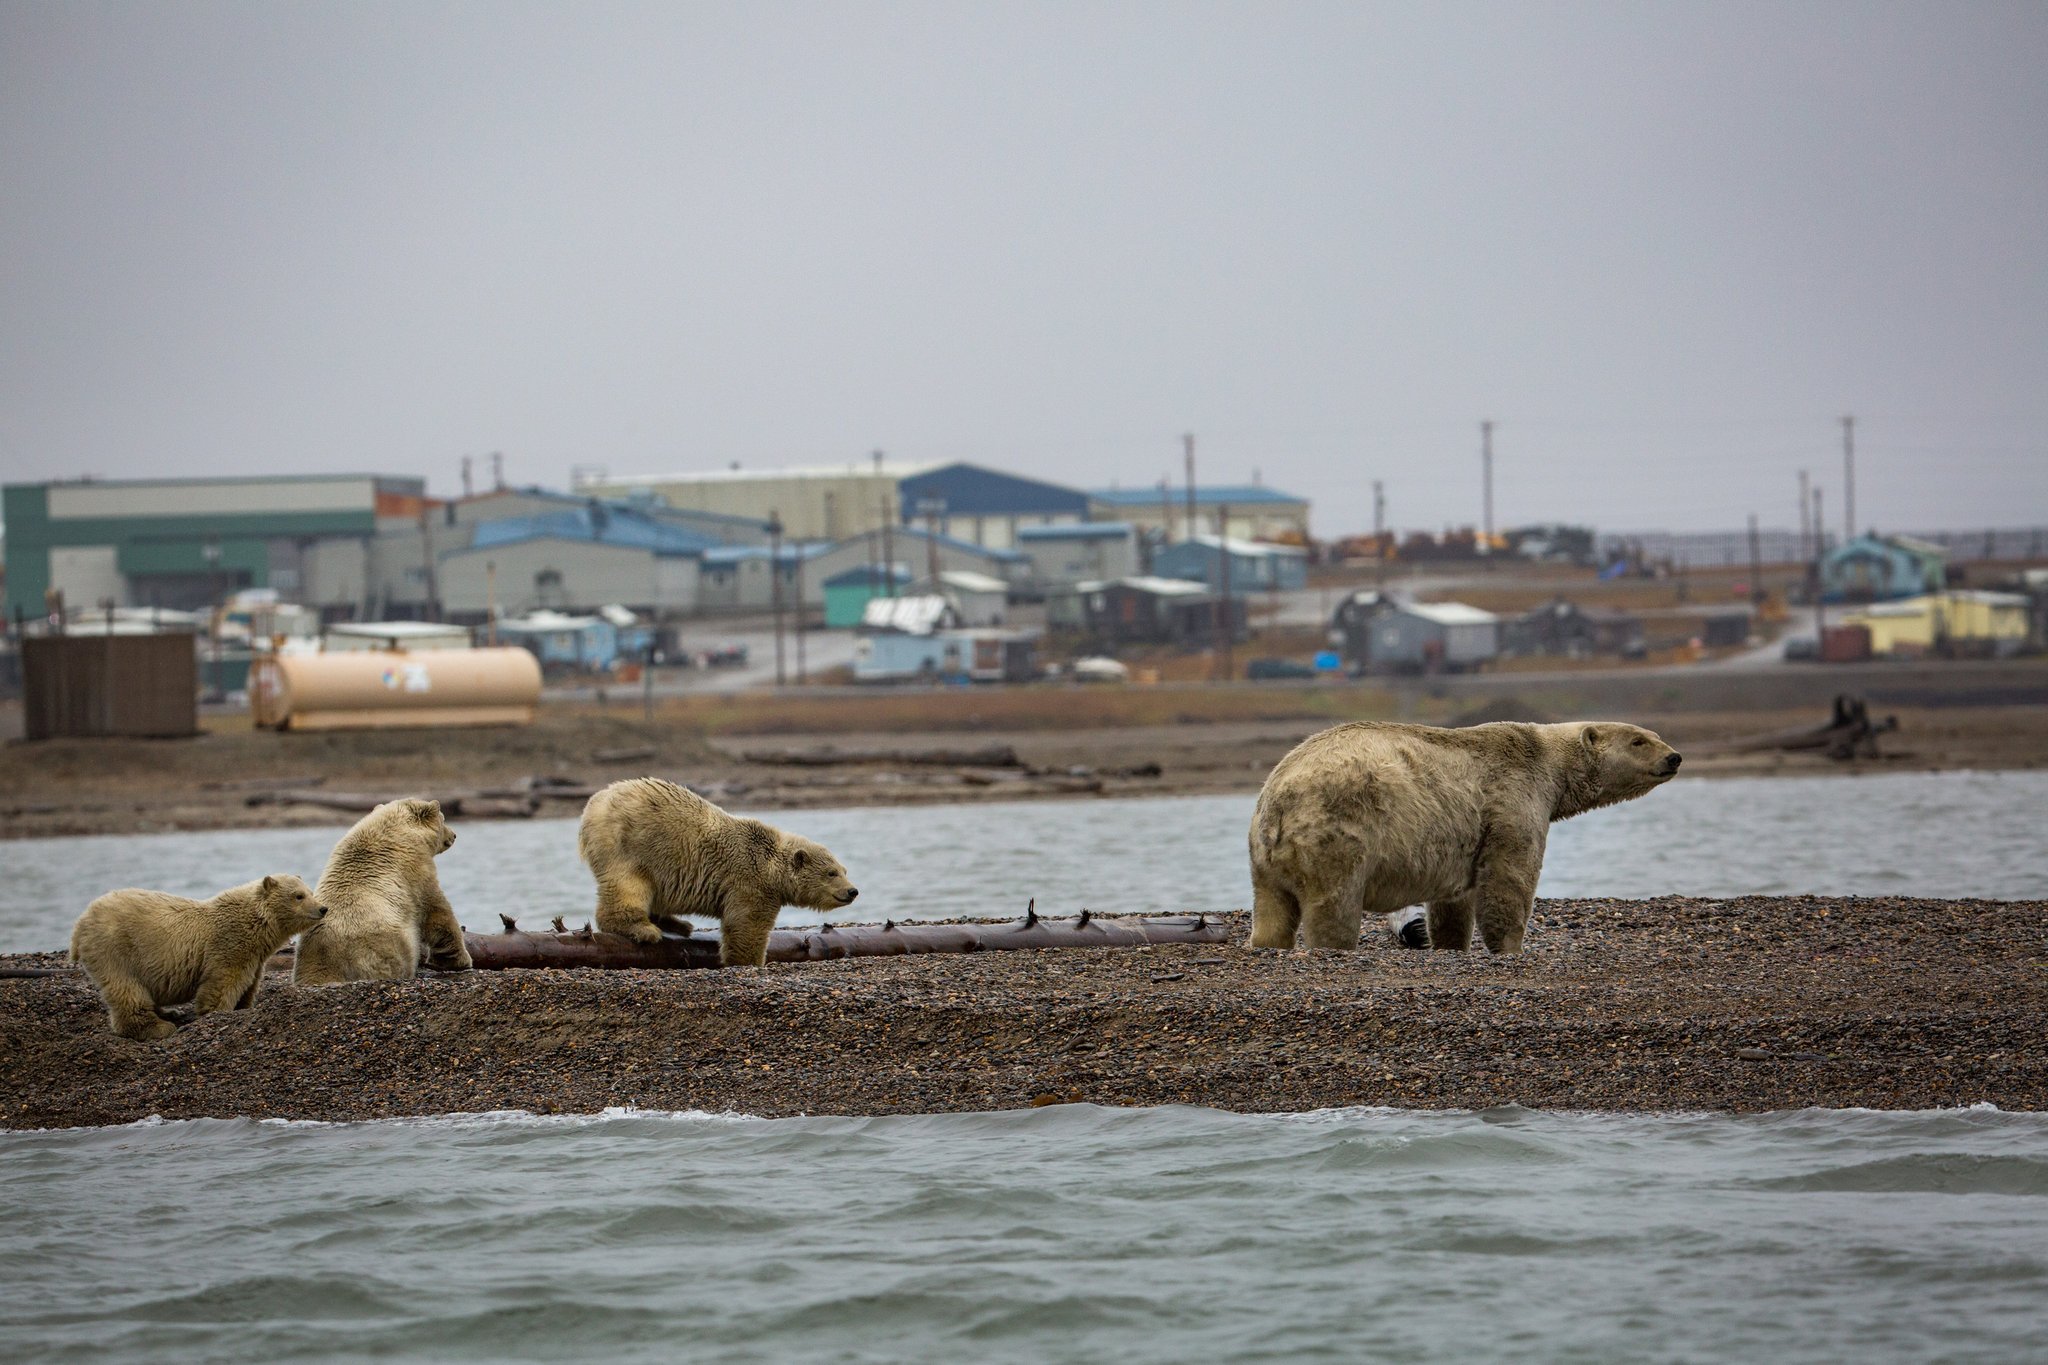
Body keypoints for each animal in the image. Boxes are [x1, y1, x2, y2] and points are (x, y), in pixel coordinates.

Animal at [69, 874, 327, 1039]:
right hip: (116, 949)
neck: (257, 923)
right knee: (127, 990)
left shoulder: (255, 957)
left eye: (310, 892)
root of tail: (80, 922)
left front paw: (242, 1007)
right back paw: (158, 1027)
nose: (323, 908)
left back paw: (169, 1012)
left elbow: (249, 984)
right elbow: (223, 983)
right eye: (298, 896)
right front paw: (214, 1013)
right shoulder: (229, 943)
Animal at [293, 798, 471, 985]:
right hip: (384, 950)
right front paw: (459, 960)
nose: (454, 835)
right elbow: (436, 910)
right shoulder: (415, 872)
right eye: (443, 819)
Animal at [578, 777, 859, 967]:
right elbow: (746, 925)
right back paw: (642, 928)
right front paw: (749, 960)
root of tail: (593, 804)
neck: (770, 863)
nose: (852, 891)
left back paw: (679, 924)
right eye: (831, 873)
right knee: (628, 885)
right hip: (629, 846)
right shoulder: (749, 881)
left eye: (844, 869)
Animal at [1247, 720, 1681, 955]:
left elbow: (1453, 903)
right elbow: (1510, 878)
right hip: (1337, 833)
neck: (1544, 759)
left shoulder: (1459, 839)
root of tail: (1276, 802)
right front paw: (1511, 946)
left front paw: (1452, 943)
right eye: (1638, 741)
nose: (1674, 757)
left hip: (1265, 859)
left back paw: (1268, 942)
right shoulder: (1512, 800)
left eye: (1653, 734)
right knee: (1334, 904)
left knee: (1272, 908)